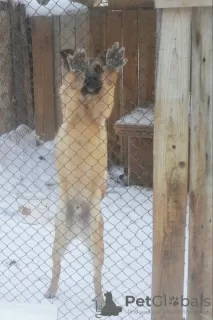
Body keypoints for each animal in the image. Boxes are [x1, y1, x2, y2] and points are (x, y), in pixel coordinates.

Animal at [44, 43, 127, 310]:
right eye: (89, 70)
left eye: (99, 69)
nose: (91, 81)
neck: (86, 107)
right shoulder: (70, 106)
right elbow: (70, 86)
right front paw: (76, 68)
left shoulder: (102, 109)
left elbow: (108, 92)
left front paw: (114, 64)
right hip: (58, 241)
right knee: (56, 267)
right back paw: (51, 291)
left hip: (96, 248)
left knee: (96, 277)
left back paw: (100, 301)